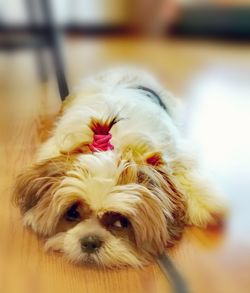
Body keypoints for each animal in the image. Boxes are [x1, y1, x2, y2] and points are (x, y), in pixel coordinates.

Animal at [13, 66, 225, 266]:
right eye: (73, 213)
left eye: (119, 222)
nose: (90, 241)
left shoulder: (175, 152)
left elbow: (188, 173)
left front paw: (206, 206)